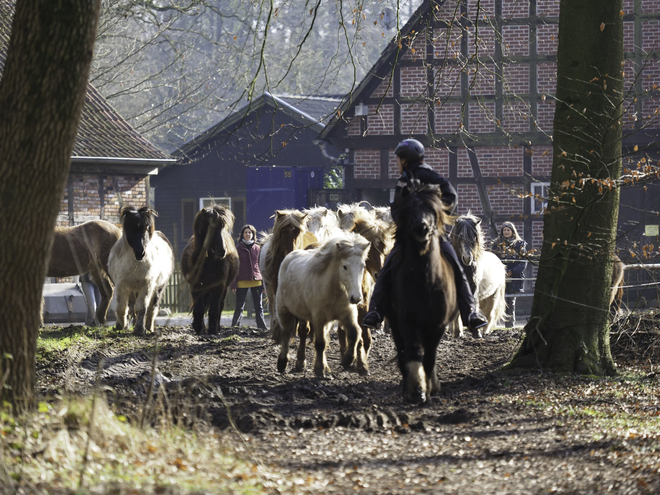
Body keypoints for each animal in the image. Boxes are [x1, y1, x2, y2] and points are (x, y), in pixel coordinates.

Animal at [107, 205, 173, 338]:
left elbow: (141, 308)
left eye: (147, 228)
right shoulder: (121, 285)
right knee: (130, 306)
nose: (140, 253)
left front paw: (139, 330)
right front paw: (122, 325)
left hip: (158, 288)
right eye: (130, 228)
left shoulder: (146, 286)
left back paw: (149, 327)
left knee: (152, 308)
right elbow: (121, 307)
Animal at [180, 205, 240, 338]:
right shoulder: (196, 286)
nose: (222, 251)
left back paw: (216, 327)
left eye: (222, 227)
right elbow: (199, 308)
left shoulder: (219, 286)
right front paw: (199, 328)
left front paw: (212, 331)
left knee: (220, 306)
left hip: (224, 288)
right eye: (207, 227)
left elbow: (214, 308)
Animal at [274, 232, 372, 380]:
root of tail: (289, 258)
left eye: (363, 265)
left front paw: (347, 360)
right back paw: (282, 363)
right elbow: (320, 343)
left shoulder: (347, 315)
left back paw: (302, 363)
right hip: (284, 311)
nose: (356, 298)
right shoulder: (319, 318)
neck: (333, 290)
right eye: (345, 266)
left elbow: (354, 333)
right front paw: (320, 370)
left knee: (304, 333)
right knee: (286, 334)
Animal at [384, 184, 456, 404]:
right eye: (408, 210)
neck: (426, 280)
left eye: (432, 209)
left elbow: (430, 356)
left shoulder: (438, 324)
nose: (421, 227)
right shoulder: (408, 322)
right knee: (403, 353)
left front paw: (429, 388)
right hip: (396, 324)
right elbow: (414, 353)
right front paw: (417, 391)